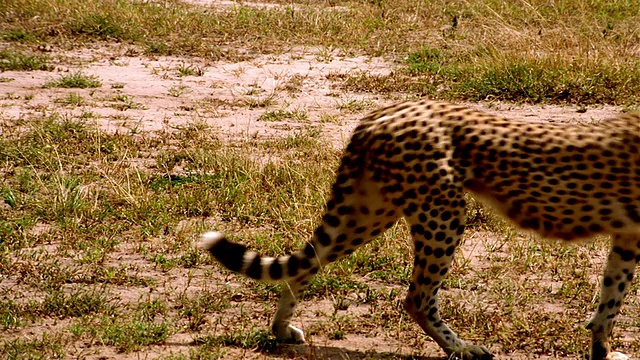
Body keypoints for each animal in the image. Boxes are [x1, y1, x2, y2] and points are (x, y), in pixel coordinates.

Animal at [200, 99, 640, 360]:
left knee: (307, 264)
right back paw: (463, 349)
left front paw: (601, 349)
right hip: (442, 211)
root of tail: (386, 109)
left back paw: (280, 330)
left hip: (370, 210)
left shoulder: (628, 236)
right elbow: (616, 299)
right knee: (417, 298)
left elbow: (611, 298)